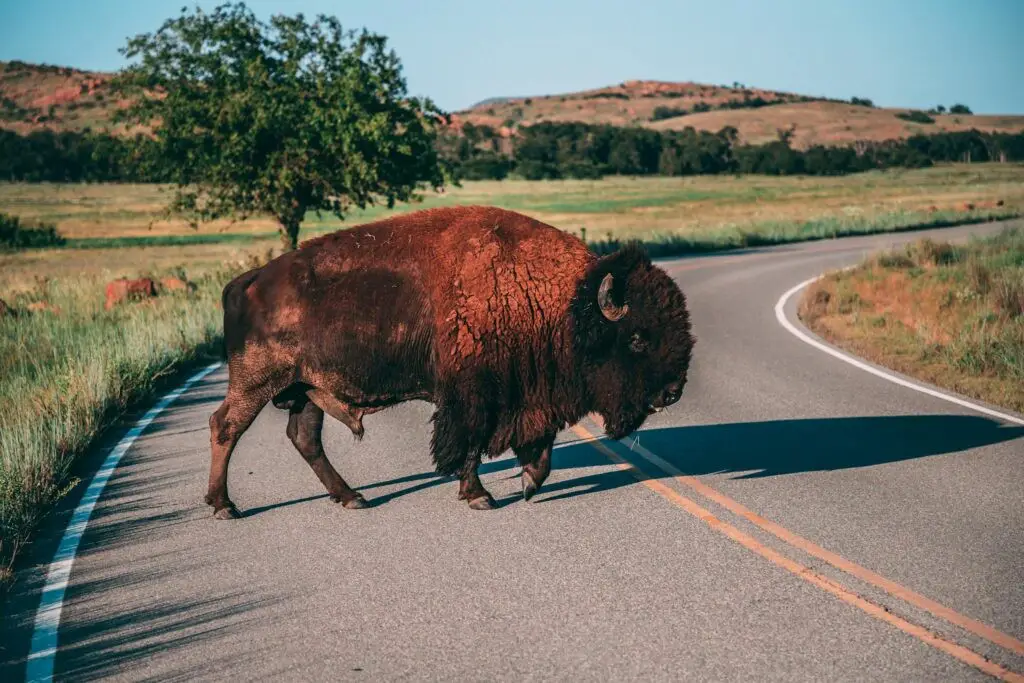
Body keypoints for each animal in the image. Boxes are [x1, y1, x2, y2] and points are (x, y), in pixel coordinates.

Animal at [204, 204, 692, 518]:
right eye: (636, 338)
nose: (672, 392)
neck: (563, 301)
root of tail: (245, 282)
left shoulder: (528, 394)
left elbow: (541, 446)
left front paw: (528, 484)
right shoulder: (475, 395)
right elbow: (470, 444)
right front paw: (480, 496)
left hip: (306, 389)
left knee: (304, 438)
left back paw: (352, 498)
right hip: (258, 380)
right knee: (226, 426)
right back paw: (224, 506)